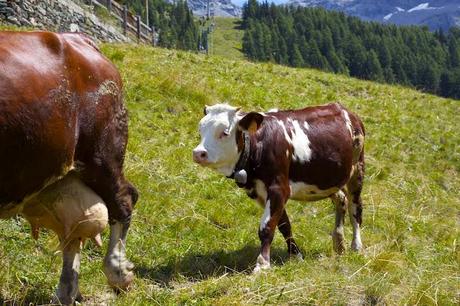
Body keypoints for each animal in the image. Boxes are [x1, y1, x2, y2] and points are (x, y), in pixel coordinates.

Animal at [0, 31, 137, 304]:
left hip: (103, 154)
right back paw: (66, 292)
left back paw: (118, 273)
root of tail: (76, 38)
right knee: (74, 230)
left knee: (123, 201)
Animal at [192, 103, 364, 272]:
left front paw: (262, 264)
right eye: (200, 130)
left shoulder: (279, 188)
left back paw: (356, 246)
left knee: (355, 208)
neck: (258, 146)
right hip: (329, 180)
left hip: (358, 169)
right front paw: (295, 255)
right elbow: (284, 225)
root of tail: (345, 109)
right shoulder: (260, 192)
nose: (198, 153)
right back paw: (339, 243)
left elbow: (267, 227)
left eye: (225, 133)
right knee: (341, 199)